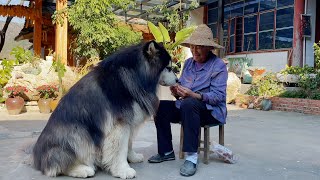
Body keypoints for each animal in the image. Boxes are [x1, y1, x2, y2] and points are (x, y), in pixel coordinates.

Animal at [32, 41, 178, 179]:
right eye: (168, 68)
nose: (177, 80)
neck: (136, 74)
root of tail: (38, 159)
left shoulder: (129, 121)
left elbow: (129, 143)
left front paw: (132, 157)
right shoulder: (119, 124)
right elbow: (120, 149)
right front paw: (123, 170)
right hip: (78, 133)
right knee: (55, 167)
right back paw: (81, 169)